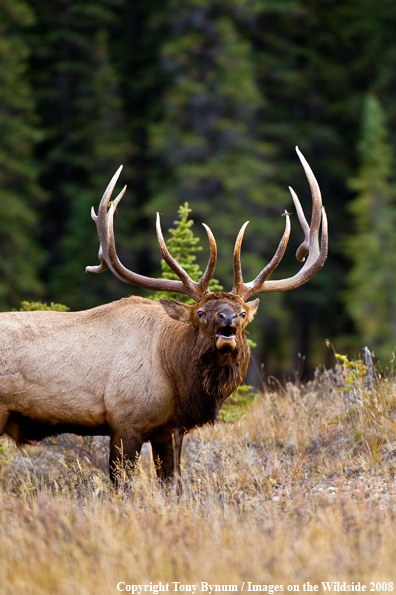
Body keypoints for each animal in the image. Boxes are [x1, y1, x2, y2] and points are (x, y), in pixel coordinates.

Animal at [0, 149, 326, 484]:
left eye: (244, 313)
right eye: (200, 312)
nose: (227, 321)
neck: (176, 379)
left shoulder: (169, 430)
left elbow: (172, 482)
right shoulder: (125, 421)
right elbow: (121, 484)